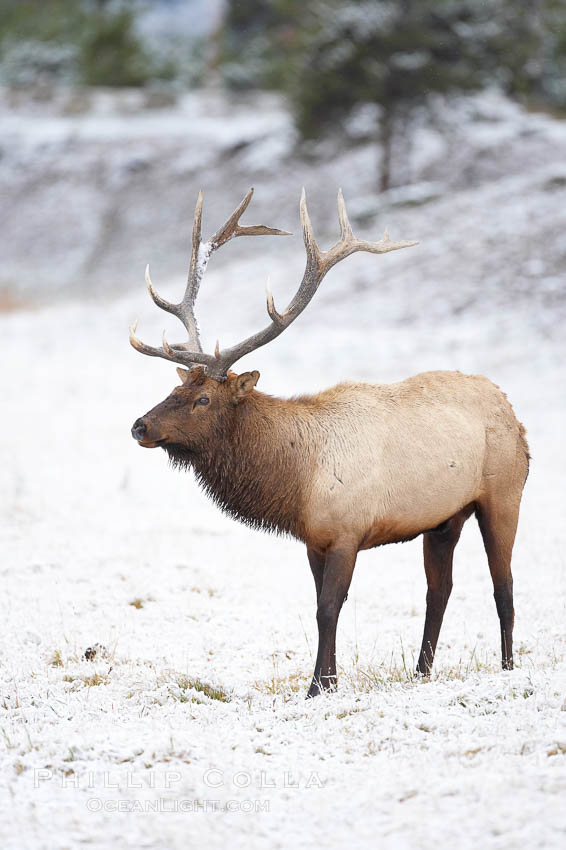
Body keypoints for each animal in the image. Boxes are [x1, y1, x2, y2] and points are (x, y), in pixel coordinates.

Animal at [131, 187, 532, 696]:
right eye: (175, 388)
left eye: (203, 398)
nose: (140, 426)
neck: (296, 477)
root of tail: (512, 412)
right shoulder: (314, 540)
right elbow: (321, 605)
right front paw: (327, 681)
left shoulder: (347, 531)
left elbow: (328, 608)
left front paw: (318, 687)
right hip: (444, 519)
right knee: (439, 590)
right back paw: (420, 672)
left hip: (503, 494)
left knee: (505, 585)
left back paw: (508, 668)